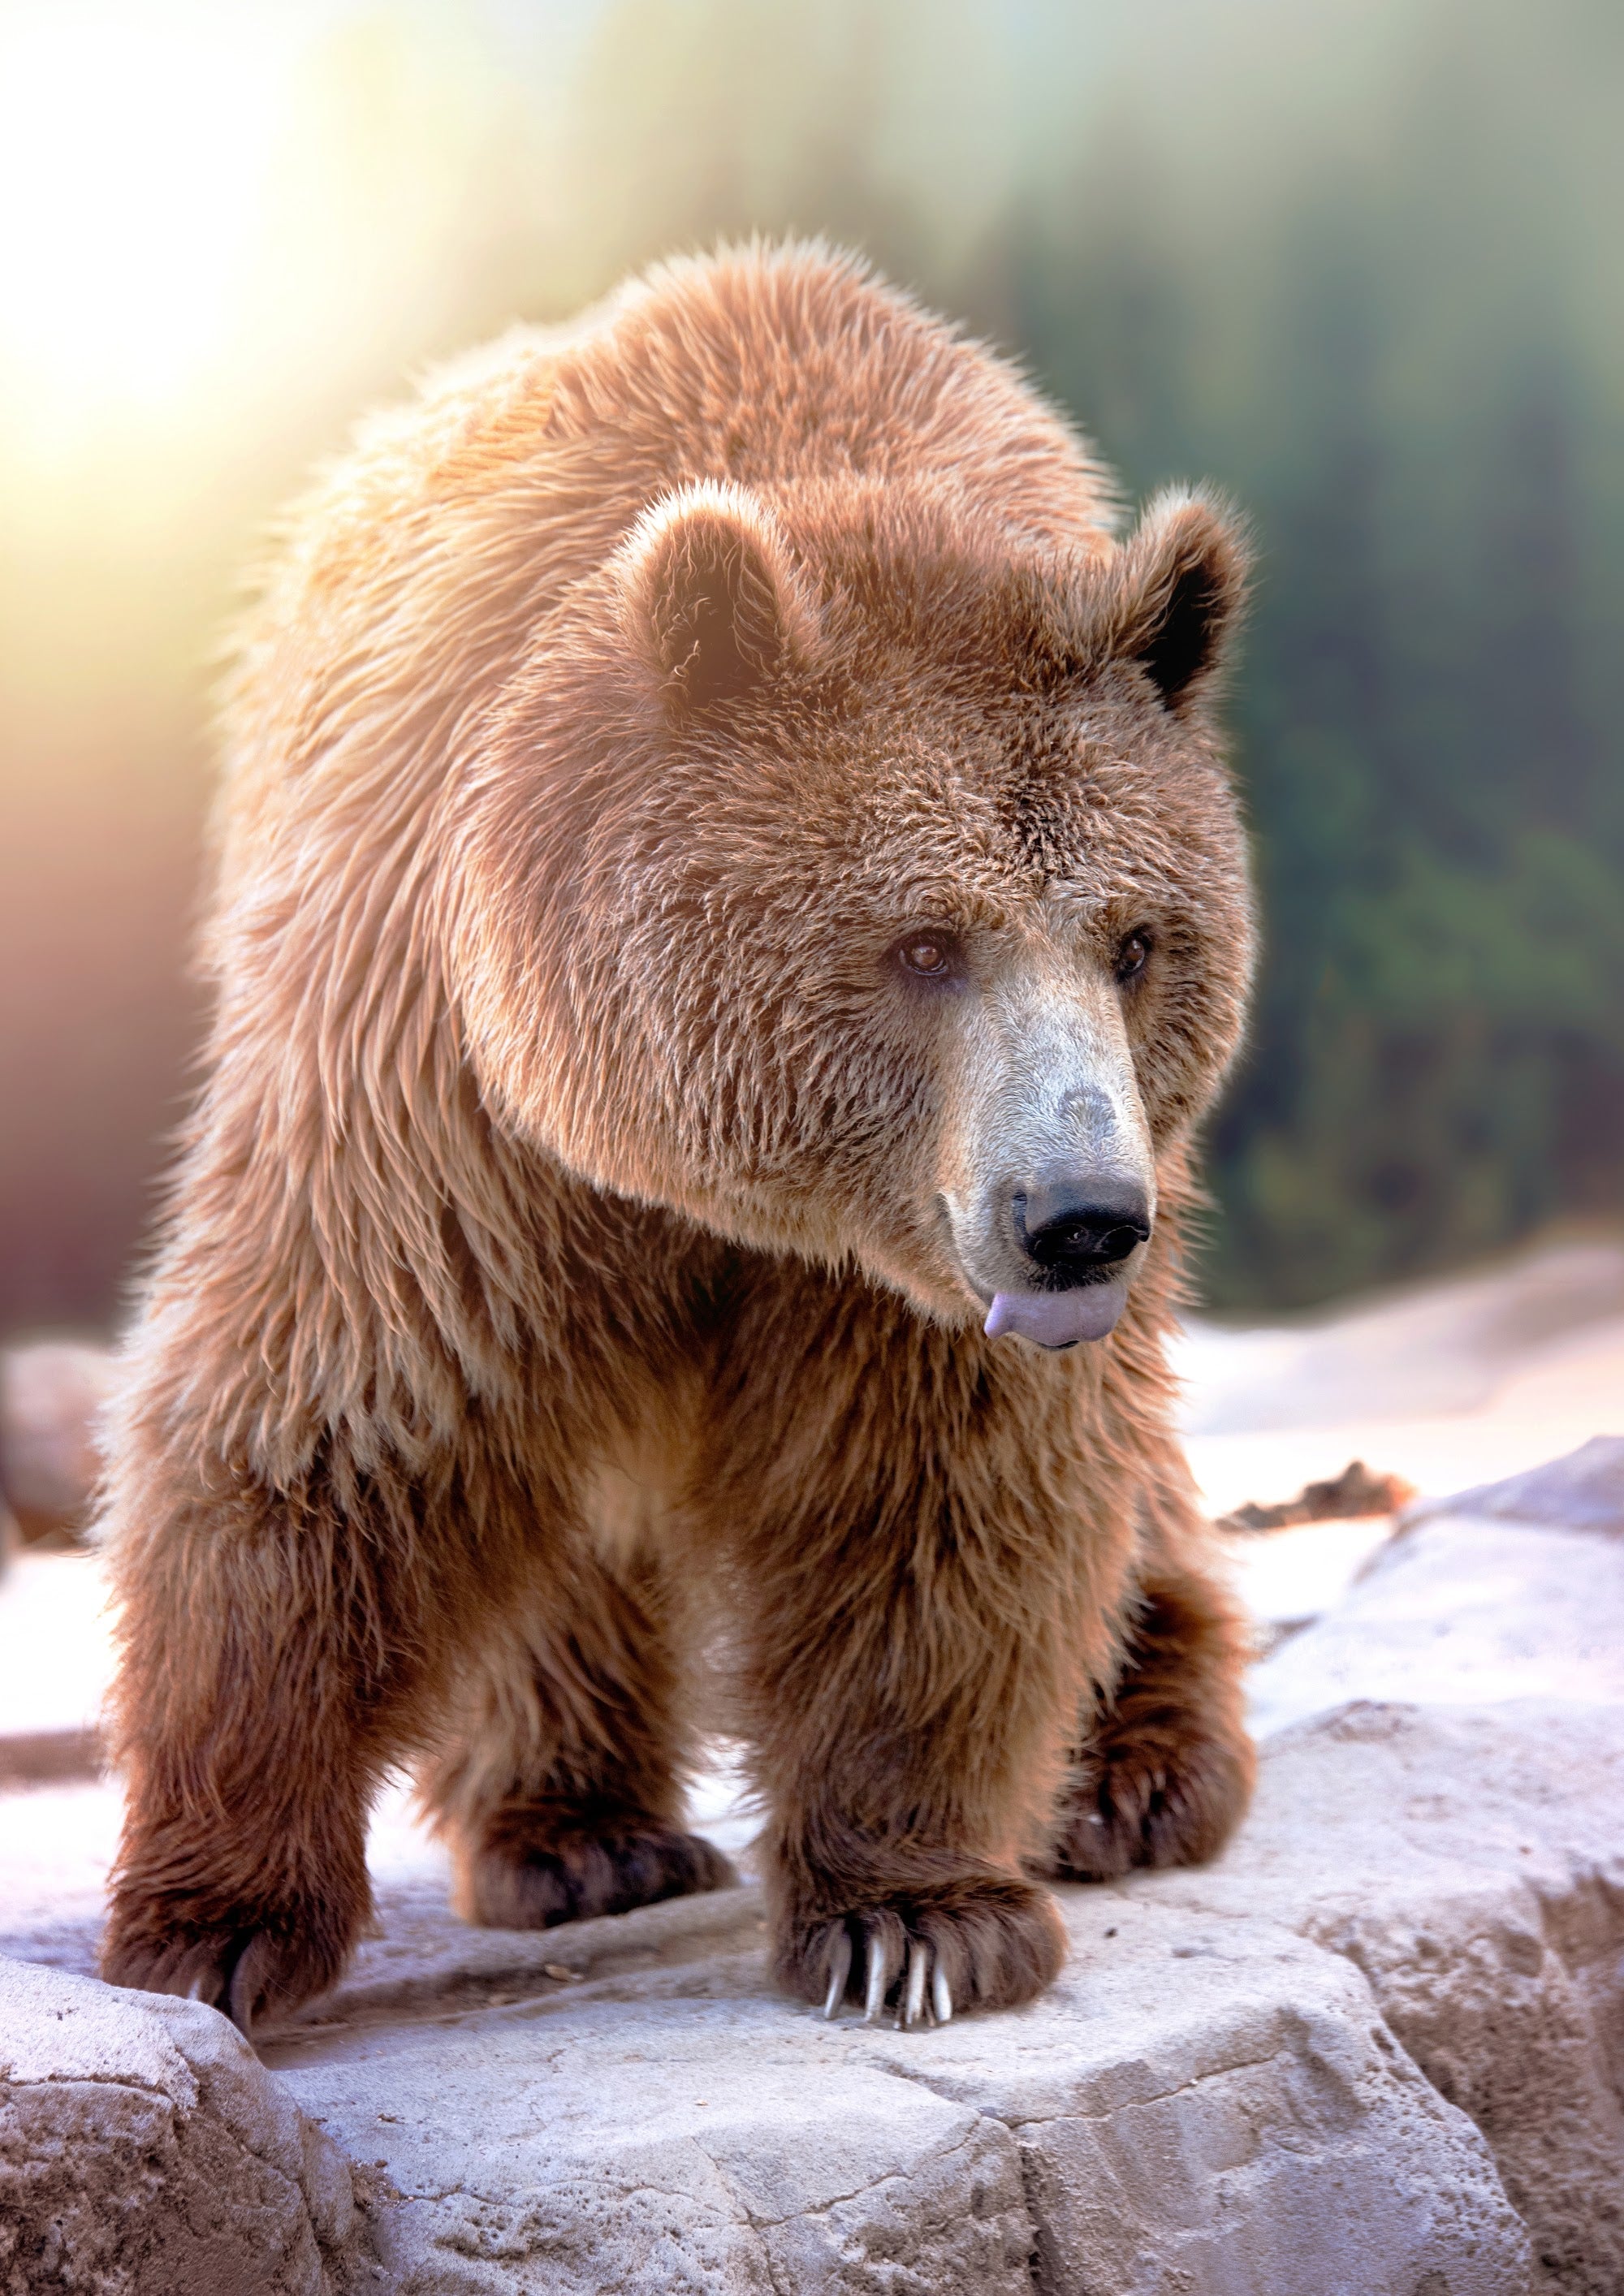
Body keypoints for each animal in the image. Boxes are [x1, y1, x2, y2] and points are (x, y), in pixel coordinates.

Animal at [98, 241, 1256, 2036]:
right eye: (927, 943)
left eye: (1136, 939)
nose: (1078, 1216)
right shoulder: (440, 1092)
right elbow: (336, 1411)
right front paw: (211, 1920)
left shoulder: (915, 1266)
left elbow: (940, 1484)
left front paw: (917, 1916)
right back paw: (577, 1829)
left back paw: (1132, 1770)